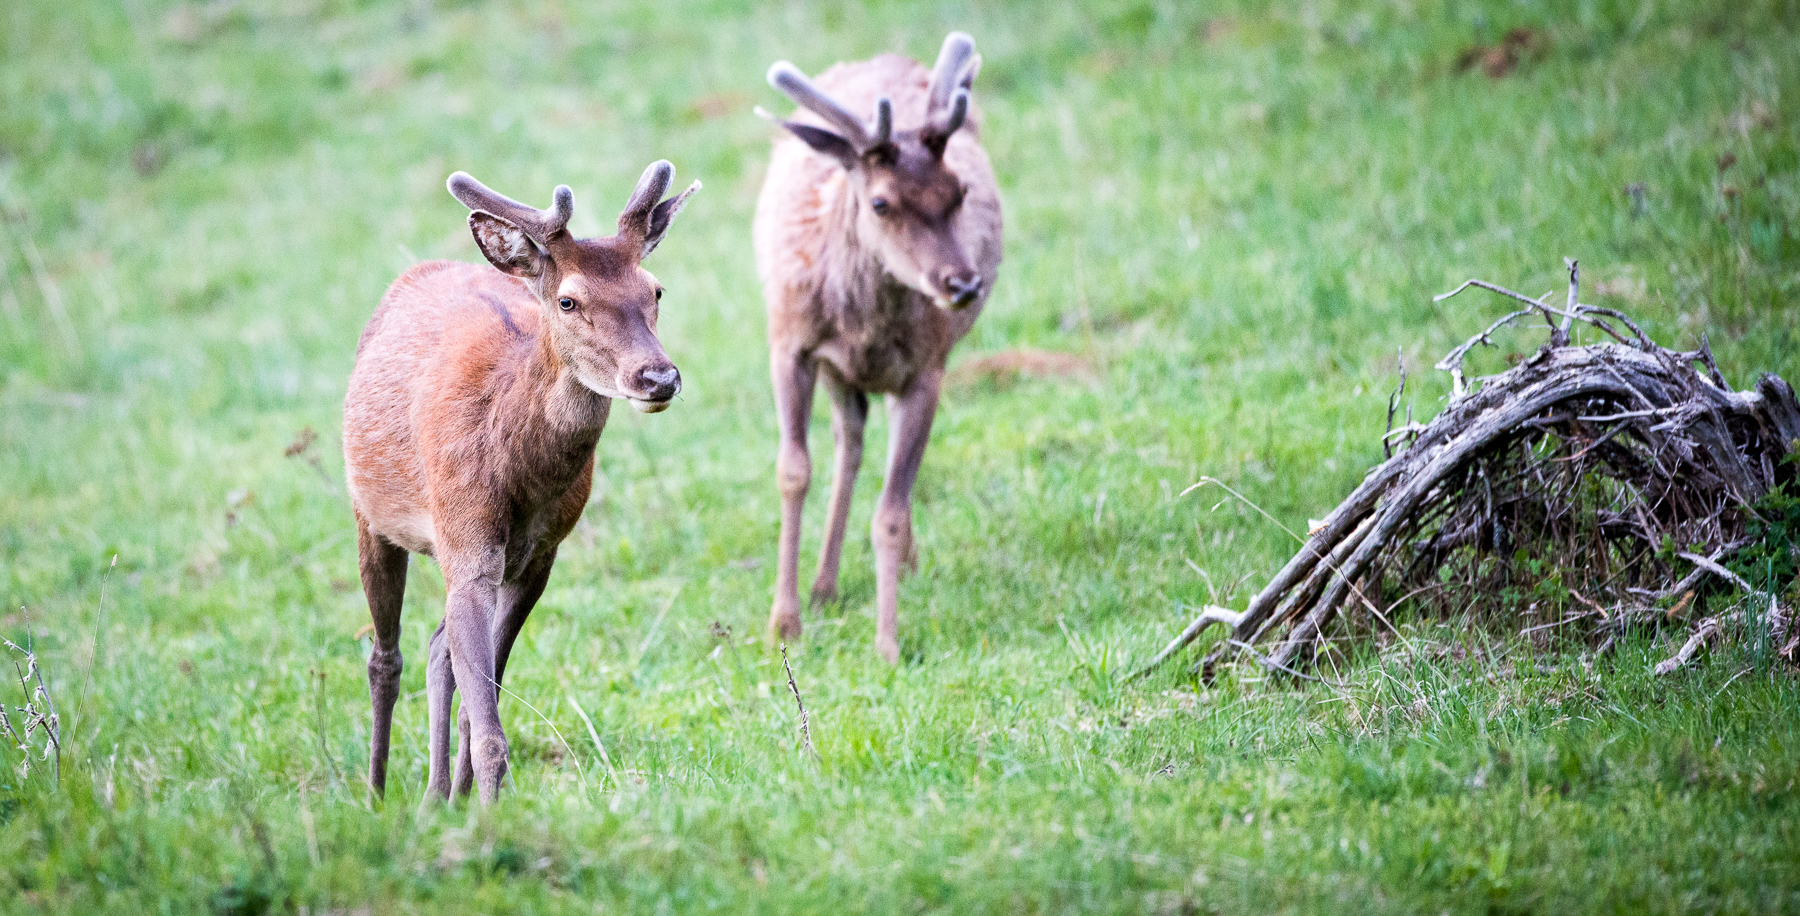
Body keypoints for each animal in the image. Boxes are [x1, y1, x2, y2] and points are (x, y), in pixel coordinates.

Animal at [340, 162, 698, 799]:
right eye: (569, 300)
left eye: (655, 290)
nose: (657, 377)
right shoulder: (466, 539)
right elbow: (488, 729)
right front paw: (485, 816)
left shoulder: (538, 556)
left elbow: (478, 701)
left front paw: (471, 805)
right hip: (370, 514)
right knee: (385, 657)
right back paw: (378, 795)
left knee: (437, 649)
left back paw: (434, 799)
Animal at [752, 32, 1008, 662]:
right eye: (881, 202)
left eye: (959, 191)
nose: (962, 285)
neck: (859, 322)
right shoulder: (789, 344)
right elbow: (792, 472)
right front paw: (783, 623)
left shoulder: (927, 369)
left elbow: (889, 512)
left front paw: (888, 644)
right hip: (838, 371)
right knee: (848, 441)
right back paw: (822, 585)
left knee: (871, 448)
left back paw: (896, 566)